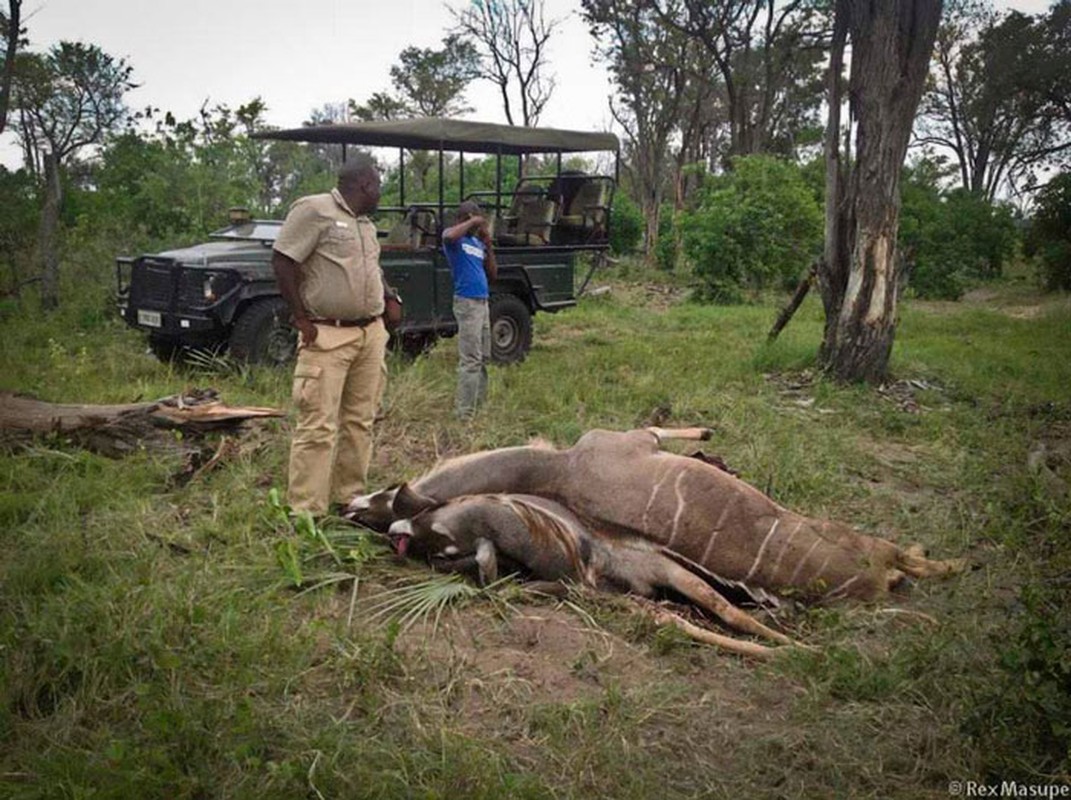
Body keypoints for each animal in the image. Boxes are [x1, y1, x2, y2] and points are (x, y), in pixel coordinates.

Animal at [347, 426, 968, 599]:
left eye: (378, 496)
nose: (343, 504)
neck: (559, 467)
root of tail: (872, 578)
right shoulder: (638, 436)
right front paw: (710, 441)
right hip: (870, 544)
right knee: (912, 558)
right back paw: (951, 564)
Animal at [389, 490, 801, 659]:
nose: (396, 536)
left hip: (670, 574)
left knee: (726, 609)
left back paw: (795, 648)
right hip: (628, 599)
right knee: (688, 621)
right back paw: (788, 649)